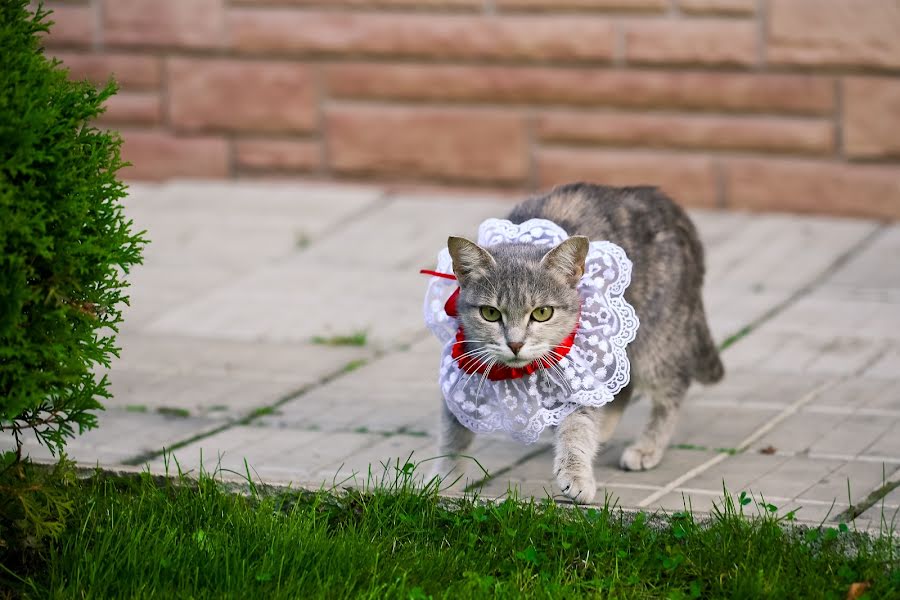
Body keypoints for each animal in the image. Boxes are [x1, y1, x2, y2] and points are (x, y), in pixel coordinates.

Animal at [430, 182, 724, 502]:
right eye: (490, 313)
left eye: (542, 313)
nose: (515, 344)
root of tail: (667, 204)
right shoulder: (464, 367)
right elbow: (453, 432)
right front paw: (444, 478)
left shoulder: (579, 369)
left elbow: (577, 426)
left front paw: (577, 475)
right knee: (622, 388)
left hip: (654, 340)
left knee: (671, 389)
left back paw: (647, 447)